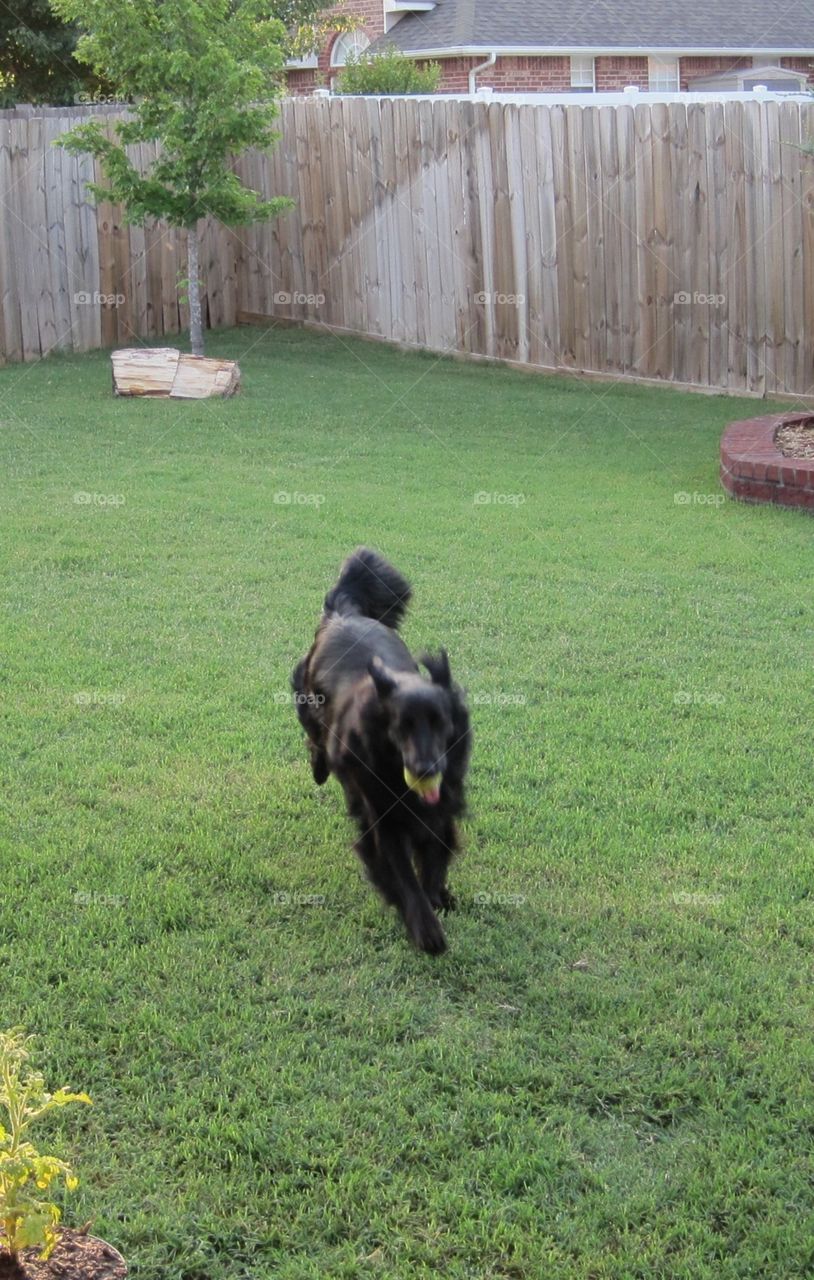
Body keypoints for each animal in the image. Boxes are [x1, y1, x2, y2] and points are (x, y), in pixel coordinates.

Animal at [293, 545, 470, 957]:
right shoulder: (382, 819)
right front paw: (426, 929)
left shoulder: (441, 805)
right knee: (314, 741)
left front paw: (438, 895)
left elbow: (435, 856)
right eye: (401, 727)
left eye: (440, 722)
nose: (425, 770)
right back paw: (319, 767)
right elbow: (401, 875)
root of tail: (344, 613)